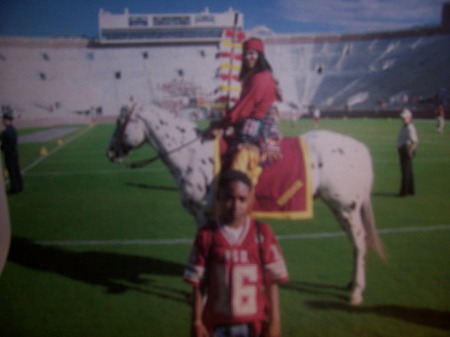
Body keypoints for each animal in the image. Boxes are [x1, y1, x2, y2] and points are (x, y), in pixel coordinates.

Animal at [107, 102, 384, 304]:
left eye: (121, 122)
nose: (110, 152)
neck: (192, 154)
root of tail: (358, 148)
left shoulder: (202, 213)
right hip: (342, 209)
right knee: (356, 242)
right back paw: (351, 283)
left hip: (345, 207)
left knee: (359, 241)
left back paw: (356, 292)